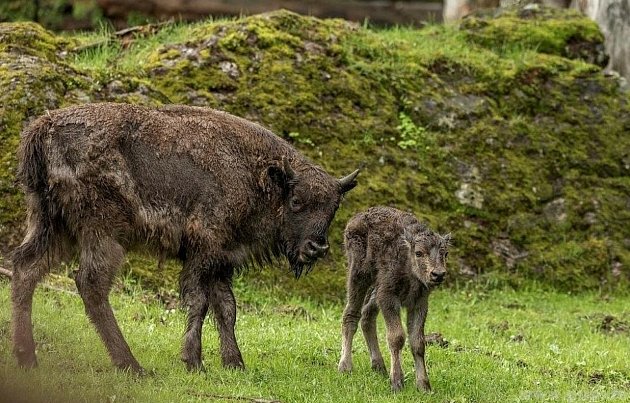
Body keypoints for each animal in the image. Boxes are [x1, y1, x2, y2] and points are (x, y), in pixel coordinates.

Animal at [11, 102, 360, 374]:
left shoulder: (223, 260)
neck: (257, 175)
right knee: (90, 284)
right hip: (104, 234)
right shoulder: (203, 253)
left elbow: (227, 308)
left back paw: (27, 359)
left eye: (333, 206)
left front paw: (235, 364)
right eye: (296, 201)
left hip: (52, 226)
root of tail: (44, 127)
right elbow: (200, 302)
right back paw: (132, 366)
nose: (316, 246)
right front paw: (194, 362)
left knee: (26, 268)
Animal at [338, 207, 452, 392]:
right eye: (419, 252)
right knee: (351, 315)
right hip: (359, 275)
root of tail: (355, 218)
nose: (438, 274)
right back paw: (345, 367)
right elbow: (396, 337)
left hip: (375, 288)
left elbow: (418, 342)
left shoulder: (419, 303)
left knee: (367, 316)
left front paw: (424, 386)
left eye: (446, 253)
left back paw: (379, 367)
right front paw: (397, 382)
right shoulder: (388, 298)